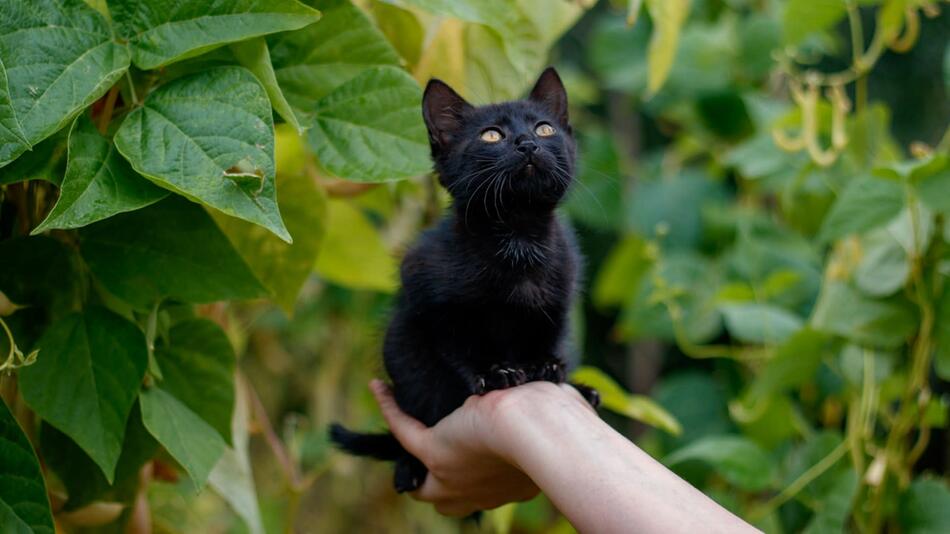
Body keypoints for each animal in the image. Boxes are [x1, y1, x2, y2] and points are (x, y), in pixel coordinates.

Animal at [330, 68, 600, 498]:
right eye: (491, 135)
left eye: (544, 128)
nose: (527, 143)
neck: (518, 235)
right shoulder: (431, 296)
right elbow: (460, 344)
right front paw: (495, 373)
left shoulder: (559, 293)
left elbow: (548, 335)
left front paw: (545, 366)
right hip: (402, 345)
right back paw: (408, 465)